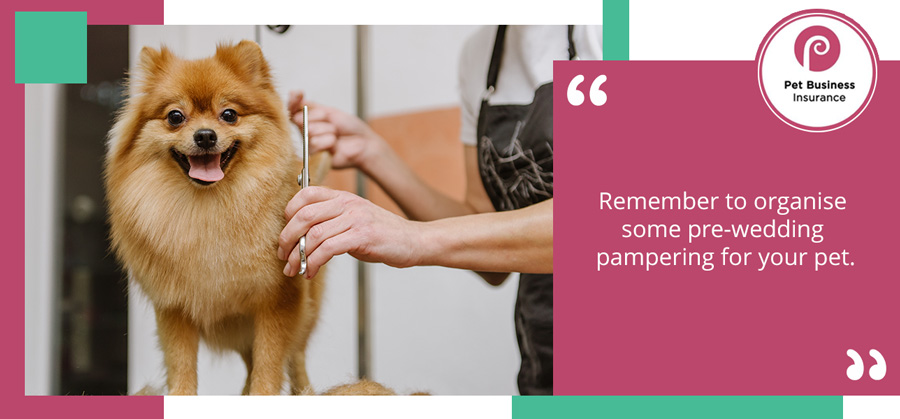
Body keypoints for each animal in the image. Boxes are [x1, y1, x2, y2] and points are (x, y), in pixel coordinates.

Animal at [105, 41, 328, 396]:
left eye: (229, 114)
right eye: (175, 117)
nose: (206, 136)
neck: (210, 208)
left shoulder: (278, 300)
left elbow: (270, 361)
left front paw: (262, 394)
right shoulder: (174, 308)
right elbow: (181, 363)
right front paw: (182, 395)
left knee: (295, 356)